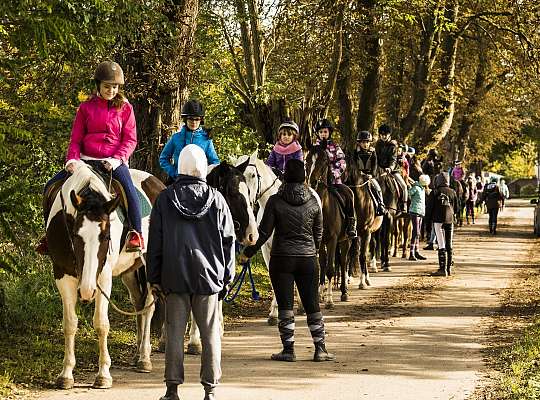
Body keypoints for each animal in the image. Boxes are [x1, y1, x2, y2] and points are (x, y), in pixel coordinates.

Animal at [46, 162, 165, 388]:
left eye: (107, 236)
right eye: (75, 235)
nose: (87, 291)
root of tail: (158, 184)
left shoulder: (103, 277)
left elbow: (101, 324)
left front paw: (103, 375)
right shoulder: (62, 274)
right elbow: (69, 324)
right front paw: (66, 374)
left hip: (149, 266)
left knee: (148, 307)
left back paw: (144, 359)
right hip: (130, 271)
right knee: (138, 302)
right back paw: (137, 355)